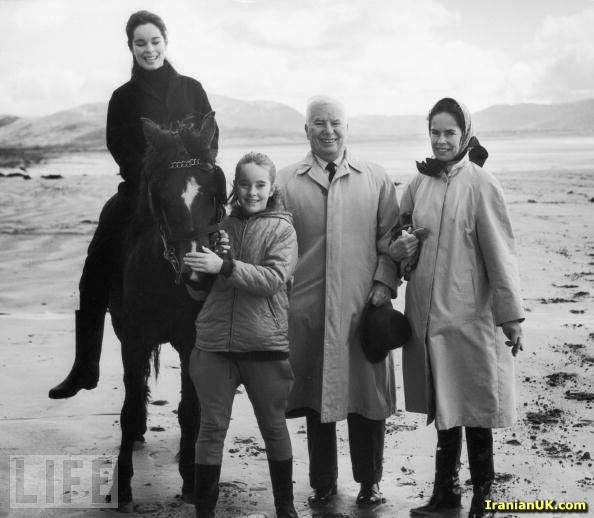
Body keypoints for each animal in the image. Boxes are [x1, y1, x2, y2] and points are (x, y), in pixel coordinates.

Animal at [106, 112, 227, 511]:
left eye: (213, 191)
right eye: (160, 195)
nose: (198, 273)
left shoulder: (191, 343)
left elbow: (189, 409)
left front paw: (190, 478)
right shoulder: (133, 341)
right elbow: (129, 408)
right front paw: (123, 485)